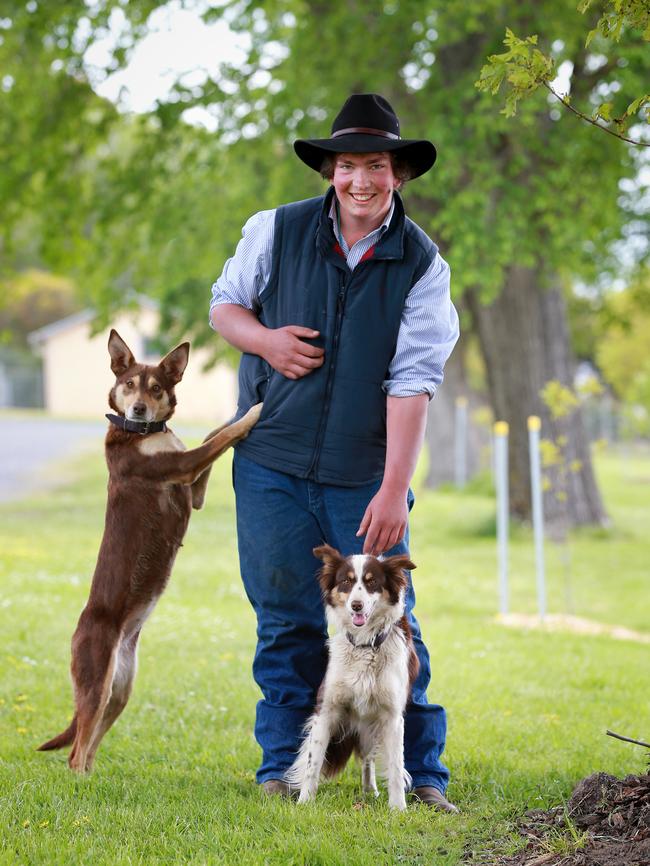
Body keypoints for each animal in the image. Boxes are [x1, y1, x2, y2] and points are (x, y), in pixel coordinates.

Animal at [37, 330, 260, 768]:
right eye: (128, 385)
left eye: (156, 388)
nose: (139, 409)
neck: (142, 432)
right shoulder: (182, 468)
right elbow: (219, 440)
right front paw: (253, 413)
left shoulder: (193, 489)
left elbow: (212, 434)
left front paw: (235, 410)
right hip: (97, 684)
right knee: (76, 752)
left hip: (120, 690)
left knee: (89, 749)